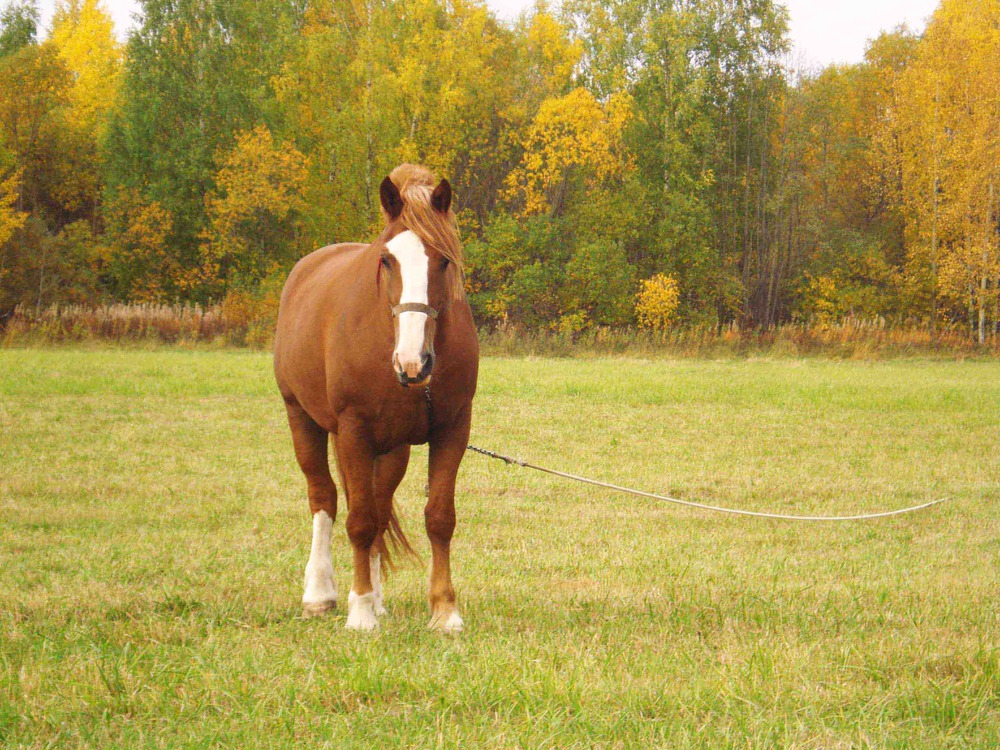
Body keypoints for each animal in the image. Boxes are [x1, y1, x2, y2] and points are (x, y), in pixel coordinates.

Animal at [272, 166, 478, 636]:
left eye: (443, 259)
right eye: (387, 259)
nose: (413, 362)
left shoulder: (452, 430)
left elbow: (439, 517)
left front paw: (445, 610)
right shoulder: (353, 431)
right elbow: (359, 521)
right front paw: (360, 612)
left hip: (393, 448)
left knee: (381, 508)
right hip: (303, 419)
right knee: (325, 499)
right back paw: (321, 594)